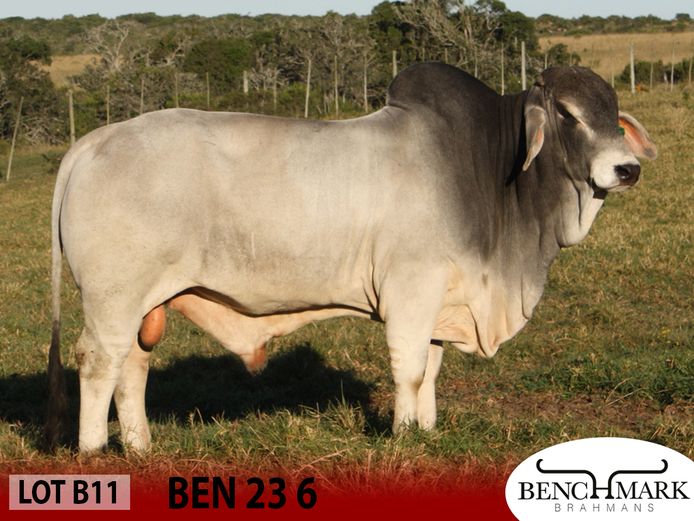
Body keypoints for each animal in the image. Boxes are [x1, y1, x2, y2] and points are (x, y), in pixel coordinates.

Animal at [47, 63, 656, 454]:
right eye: (569, 114)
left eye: (614, 111)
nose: (627, 170)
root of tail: (94, 141)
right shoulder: (411, 289)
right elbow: (410, 369)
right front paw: (404, 437)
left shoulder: (441, 302)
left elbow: (431, 369)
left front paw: (427, 432)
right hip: (112, 300)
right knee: (98, 364)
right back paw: (95, 452)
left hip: (146, 303)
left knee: (132, 368)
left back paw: (141, 448)